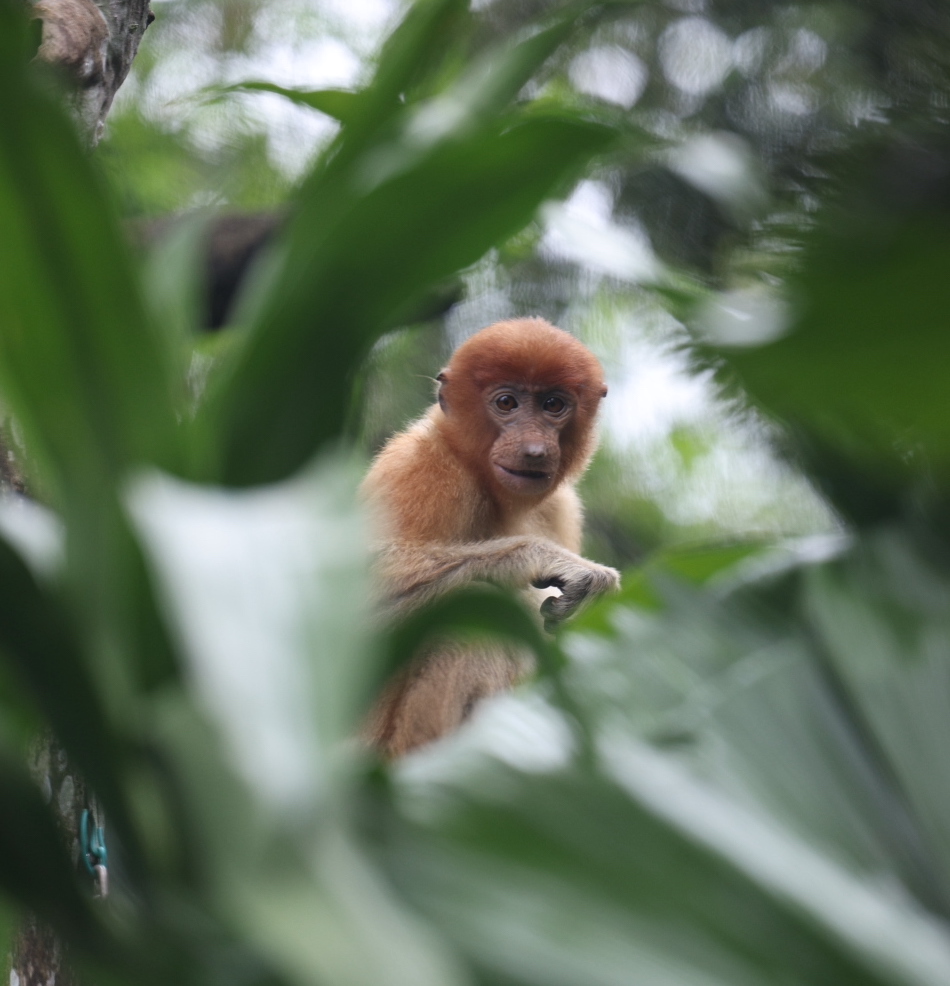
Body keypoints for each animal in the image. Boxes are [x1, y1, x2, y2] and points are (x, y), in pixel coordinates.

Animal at [361, 317, 621, 757]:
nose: (534, 449)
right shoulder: (422, 471)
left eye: (554, 405)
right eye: (506, 403)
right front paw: (539, 559)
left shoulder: (561, 507)